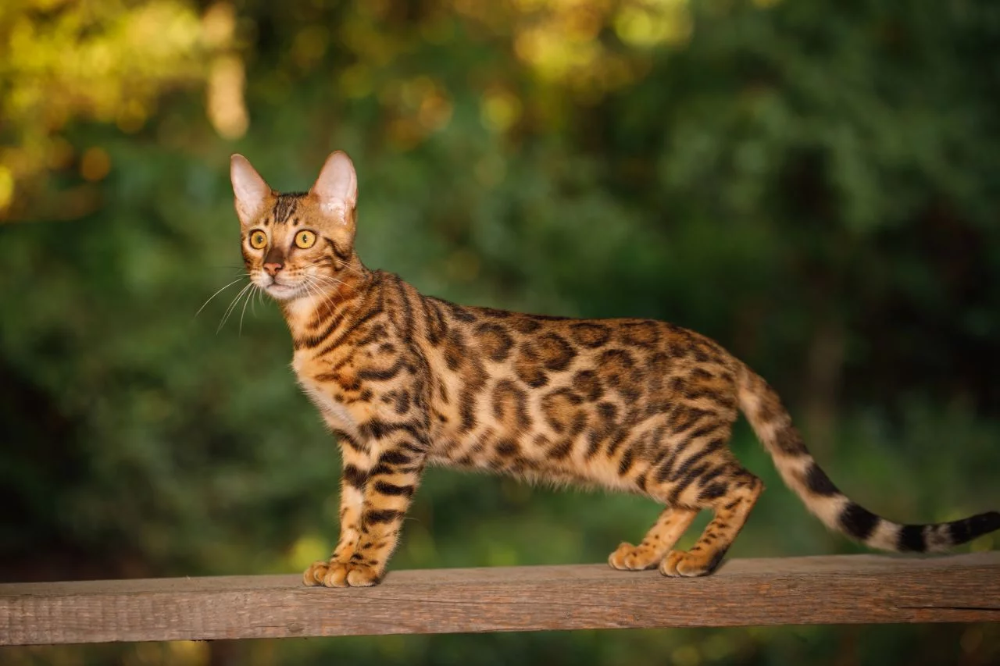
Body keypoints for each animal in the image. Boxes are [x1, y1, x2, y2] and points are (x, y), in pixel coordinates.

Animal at [229, 152, 1000, 588]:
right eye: (257, 236)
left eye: (304, 238)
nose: (272, 268)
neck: (317, 320)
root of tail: (722, 351)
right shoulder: (355, 441)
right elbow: (351, 507)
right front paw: (339, 559)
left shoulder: (397, 430)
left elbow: (380, 512)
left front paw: (362, 567)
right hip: (641, 458)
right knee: (696, 494)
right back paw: (649, 551)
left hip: (665, 449)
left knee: (743, 481)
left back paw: (699, 560)